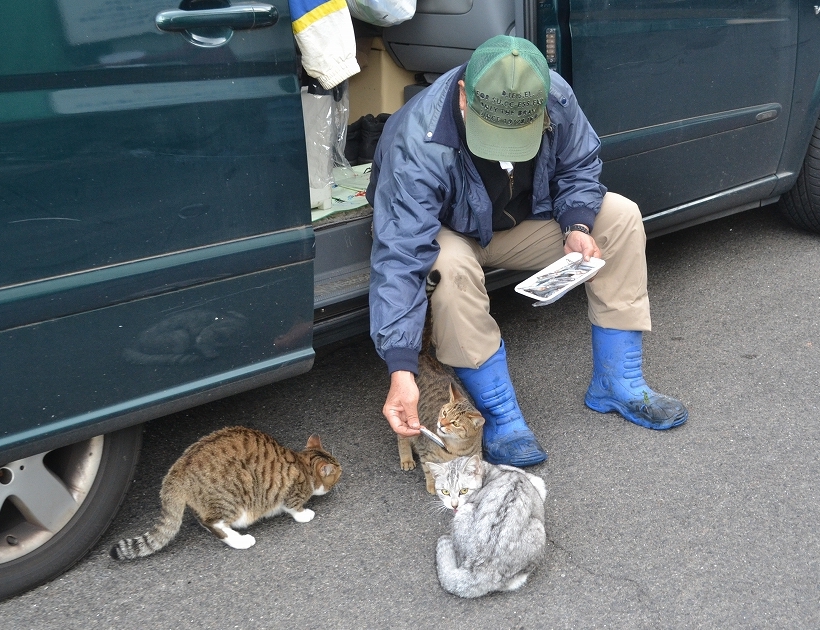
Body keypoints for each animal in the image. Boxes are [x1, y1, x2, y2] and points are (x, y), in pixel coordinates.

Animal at [109, 428, 340, 560]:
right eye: (338, 473)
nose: (342, 472)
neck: (303, 464)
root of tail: (178, 470)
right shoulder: (291, 493)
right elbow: (294, 508)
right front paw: (305, 514)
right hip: (235, 497)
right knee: (215, 524)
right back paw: (241, 540)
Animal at [398, 270, 486, 496]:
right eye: (444, 413)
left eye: (455, 423)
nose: (440, 424)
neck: (455, 449)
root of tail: (421, 354)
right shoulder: (425, 449)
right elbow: (429, 469)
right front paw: (433, 485)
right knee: (401, 437)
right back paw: (406, 458)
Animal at [426, 456, 548, 600]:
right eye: (445, 492)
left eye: (464, 491)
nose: (454, 505)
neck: (490, 471)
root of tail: (482, 568)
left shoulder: (538, 482)